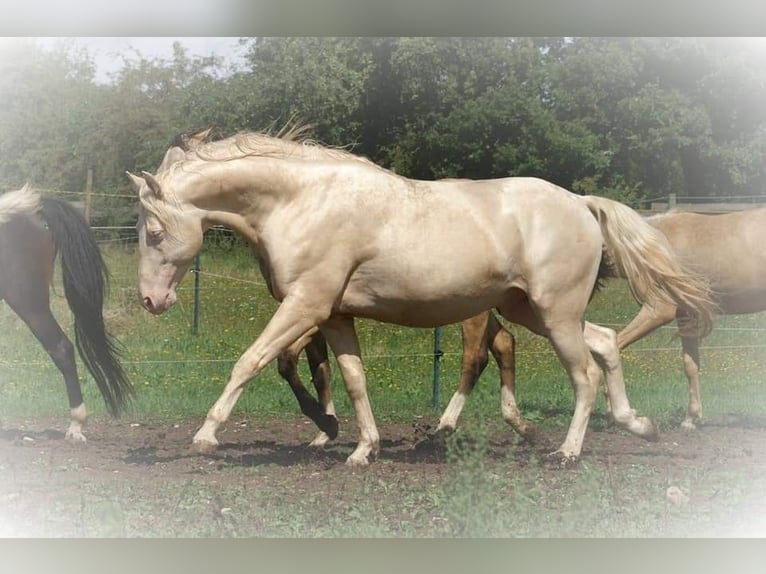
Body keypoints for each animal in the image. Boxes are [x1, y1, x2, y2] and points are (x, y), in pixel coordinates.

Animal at [127, 126, 715, 466]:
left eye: (153, 232)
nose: (151, 302)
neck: (302, 202)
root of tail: (580, 203)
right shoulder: (334, 315)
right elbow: (355, 379)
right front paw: (362, 448)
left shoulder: (304, 306)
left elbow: (249, 361)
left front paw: (207, 435)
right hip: (532, 310)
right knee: (607, 343)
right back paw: (638, 425)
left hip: (555, 313)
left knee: (584, 374)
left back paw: (567, 452)